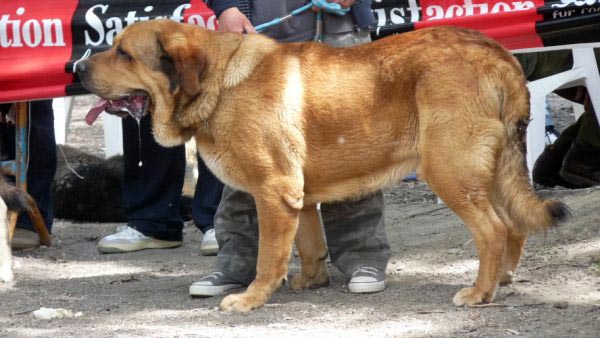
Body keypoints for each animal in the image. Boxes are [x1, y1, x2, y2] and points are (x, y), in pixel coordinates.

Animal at [77, 19, 568, 312]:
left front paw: (251, 298)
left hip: (449, 170)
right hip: (492, 168)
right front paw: (308, 282)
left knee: (493, 230)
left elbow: (268, 256)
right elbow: (309, 245)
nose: (77, 68)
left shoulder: (273, 191)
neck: (219, 80)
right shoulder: (297, 195)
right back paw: (503, 277)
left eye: (124, 54)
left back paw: (480, 291)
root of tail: (496, 52)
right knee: (514, 225)